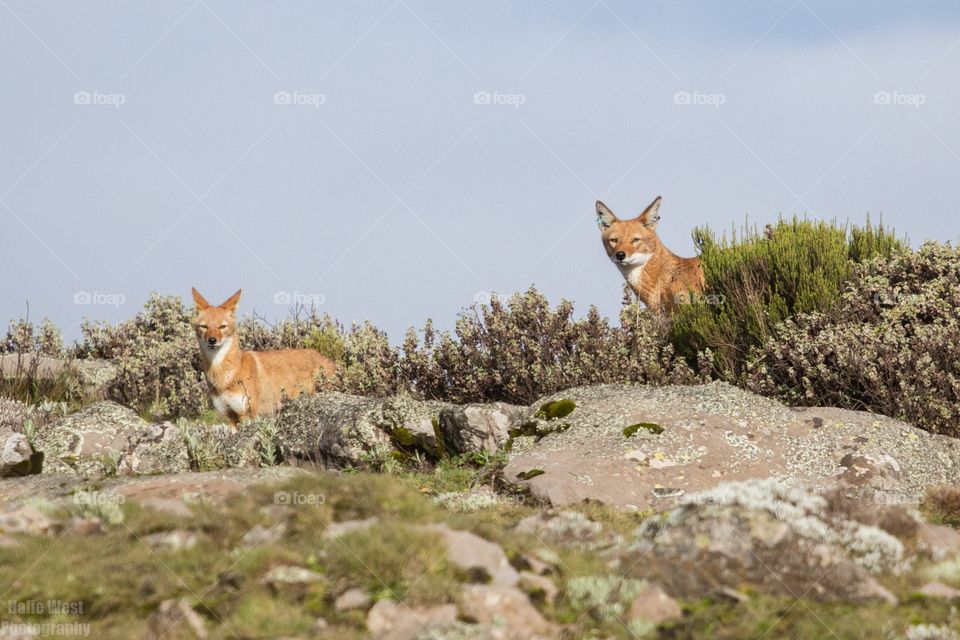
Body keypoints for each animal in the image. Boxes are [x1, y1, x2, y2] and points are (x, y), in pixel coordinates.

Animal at [189, 290, 336, 424]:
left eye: (222, 327)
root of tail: (331, 362)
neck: (224, 377)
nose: (212, 340)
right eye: (204, 326)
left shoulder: (247, 415)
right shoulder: (230, 417)